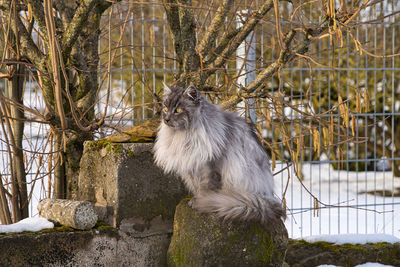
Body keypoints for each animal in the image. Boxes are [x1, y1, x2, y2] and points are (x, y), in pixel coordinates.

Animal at [152, 85, 282, 223]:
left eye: (178, 110)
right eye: (165, 109)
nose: (166, 119)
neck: (183, 136)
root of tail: (268, 198)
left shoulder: (210, 168)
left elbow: (207, 189)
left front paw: (202, 201)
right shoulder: (192, 167)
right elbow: (198, 187)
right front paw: (196, 200)